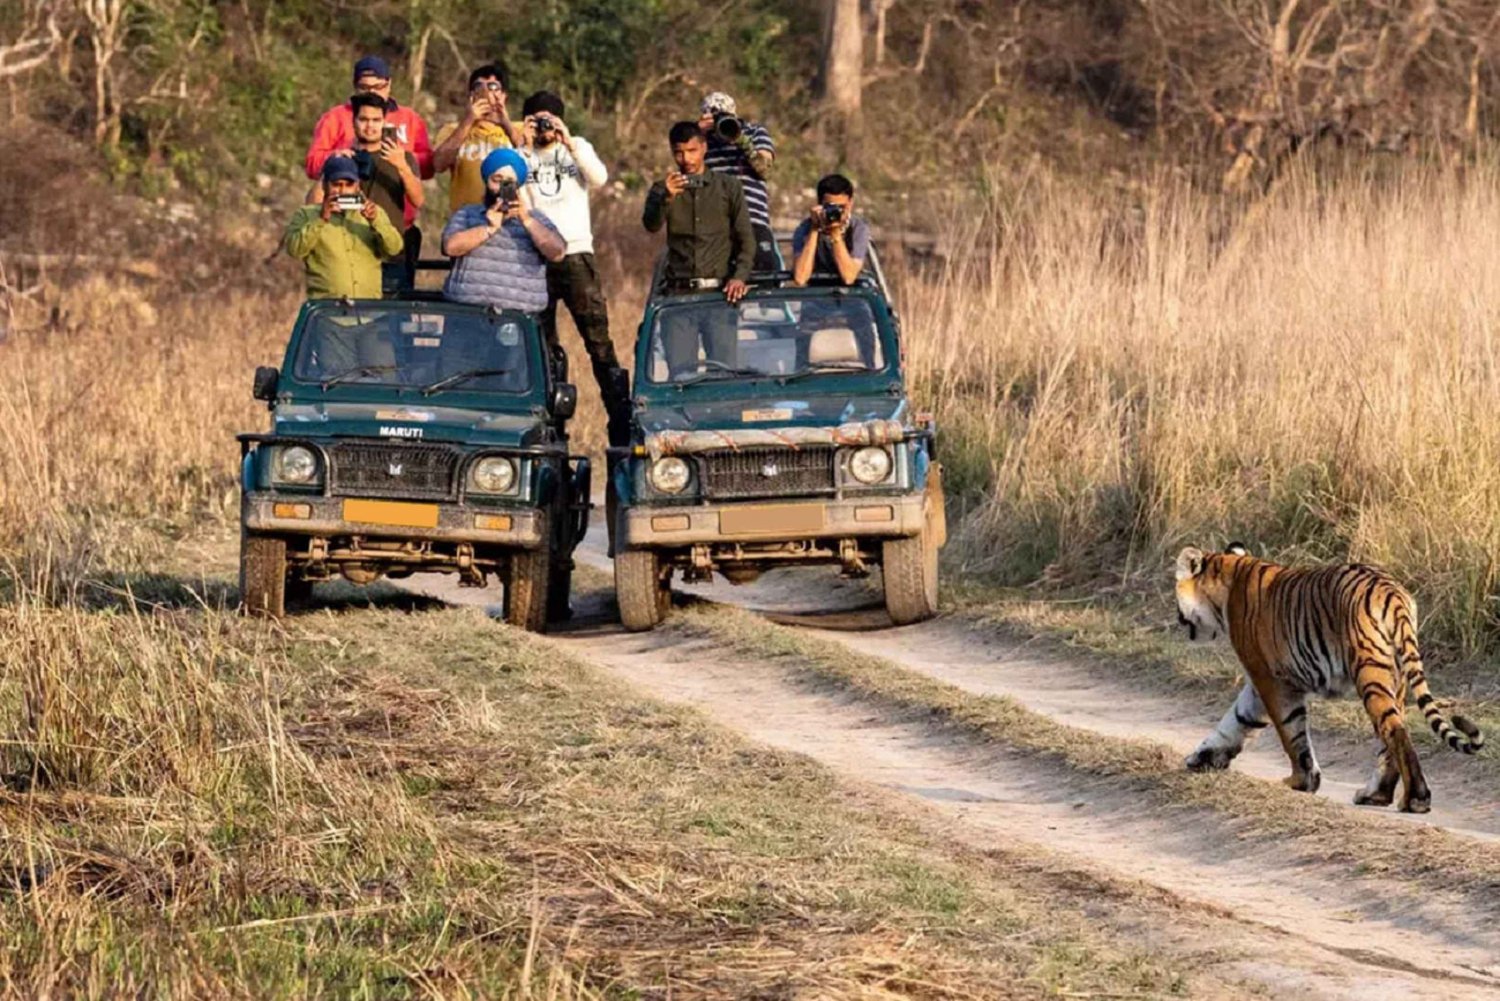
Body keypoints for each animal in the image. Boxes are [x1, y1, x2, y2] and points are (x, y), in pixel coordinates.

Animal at [1170, 543, 1476, 810]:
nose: (1177, 618)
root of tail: (1392, 592)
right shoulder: (1260, 683)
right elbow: (1237, 719)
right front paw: (1202, 757)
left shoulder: (1271, 679)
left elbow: (1290, 733)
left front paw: (1301, 781)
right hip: (1395, 677)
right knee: (1393, 733)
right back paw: (1376, 795)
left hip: (1370, 671)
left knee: (1395, 730)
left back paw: (1415, 799)